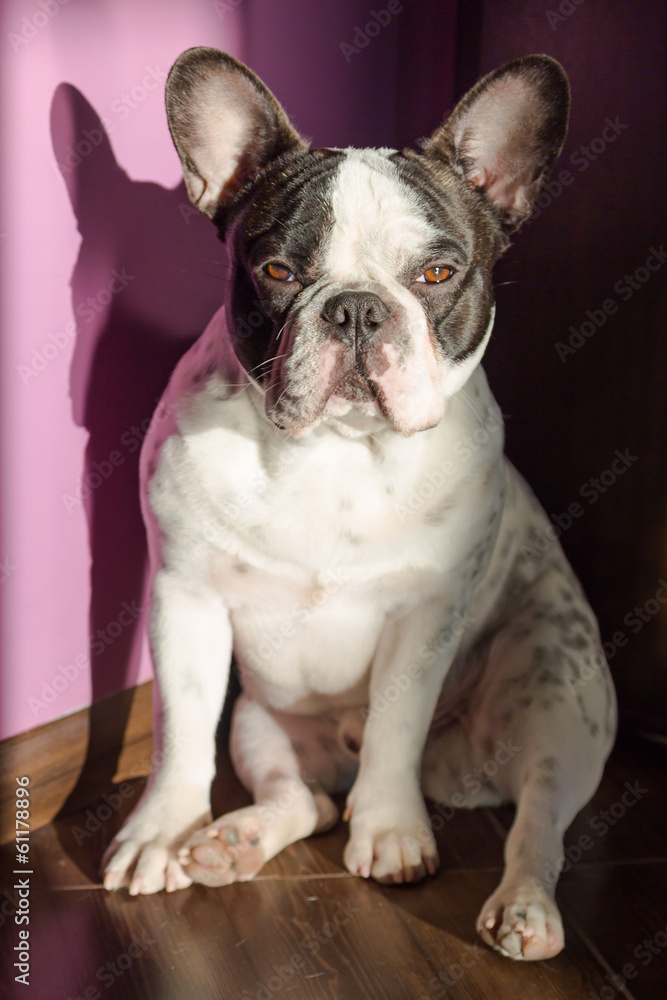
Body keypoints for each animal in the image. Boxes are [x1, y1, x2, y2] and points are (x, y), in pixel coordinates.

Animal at [102, 48, 620, 960]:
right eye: (277, 272)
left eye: (437, 273)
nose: (353, 306)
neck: (334, 452)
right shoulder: (184, 597)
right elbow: (180, 727)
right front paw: (161, 830)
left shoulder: (424, 615)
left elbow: (394, 725)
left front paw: (389, 830)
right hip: (263, 722)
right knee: (301, 798)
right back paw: (232, 841)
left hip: (558, 699)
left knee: (538, 820)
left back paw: (523, 908)